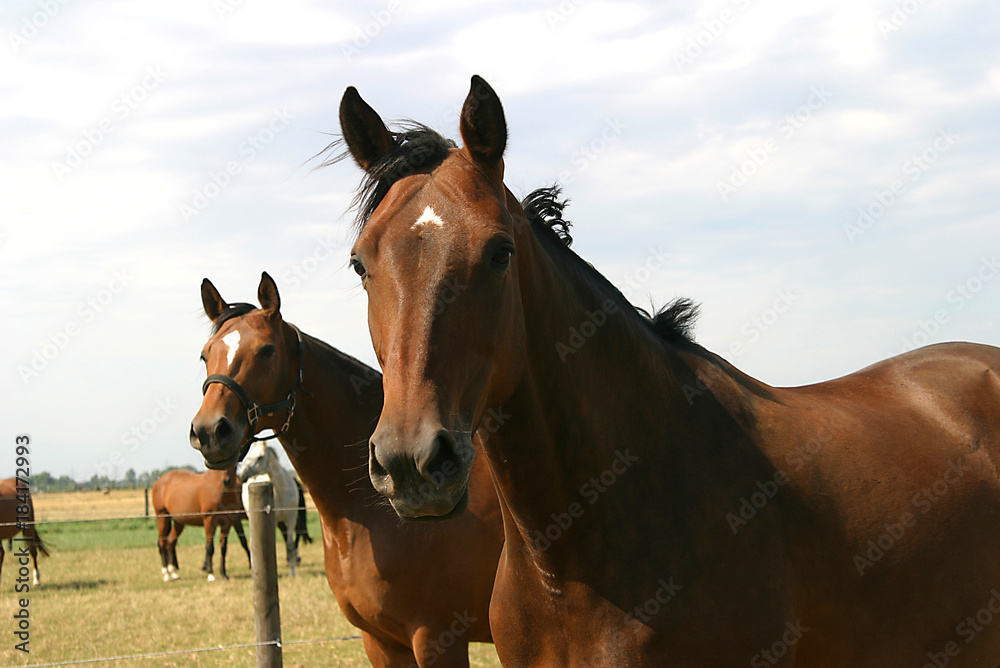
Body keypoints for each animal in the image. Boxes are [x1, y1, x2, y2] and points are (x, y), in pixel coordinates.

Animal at [238, 444, 300, 576]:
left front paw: (292, 572)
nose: (242, 475)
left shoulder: (291, 519)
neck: (281, 491)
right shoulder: (273, 519)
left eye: (260, 457)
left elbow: (290, 545)